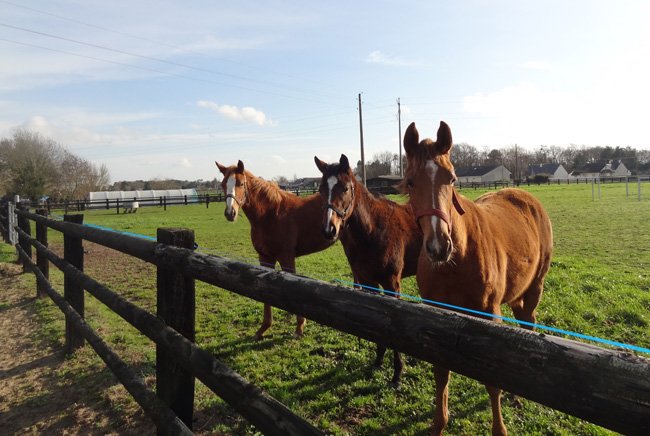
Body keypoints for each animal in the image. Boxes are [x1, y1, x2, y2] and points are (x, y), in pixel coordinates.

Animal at [215, 160, 335, 339]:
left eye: (241, 183)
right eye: (223, 184)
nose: (230, 213)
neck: (272, 213)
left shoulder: (287, 258)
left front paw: (299, 328)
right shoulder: (265, 258)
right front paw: (263, 329)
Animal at [314, 154, 422, 387]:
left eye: (346, 188)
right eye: (320, 189)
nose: (329, 229)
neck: (374, 229)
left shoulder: (392, 284)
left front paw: (397, 374)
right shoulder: (368, 282)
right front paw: (378, 360)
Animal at [401, 121, 553, 435]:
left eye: (452, 179)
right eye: (410, 182)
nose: (439, 246)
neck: (456, 261)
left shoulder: (488, 314)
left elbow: (492, 382)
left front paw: (500, 429)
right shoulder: (436, 314)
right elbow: (441, 373)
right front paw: (439, 423)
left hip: (535, 288)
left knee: (529, 323)